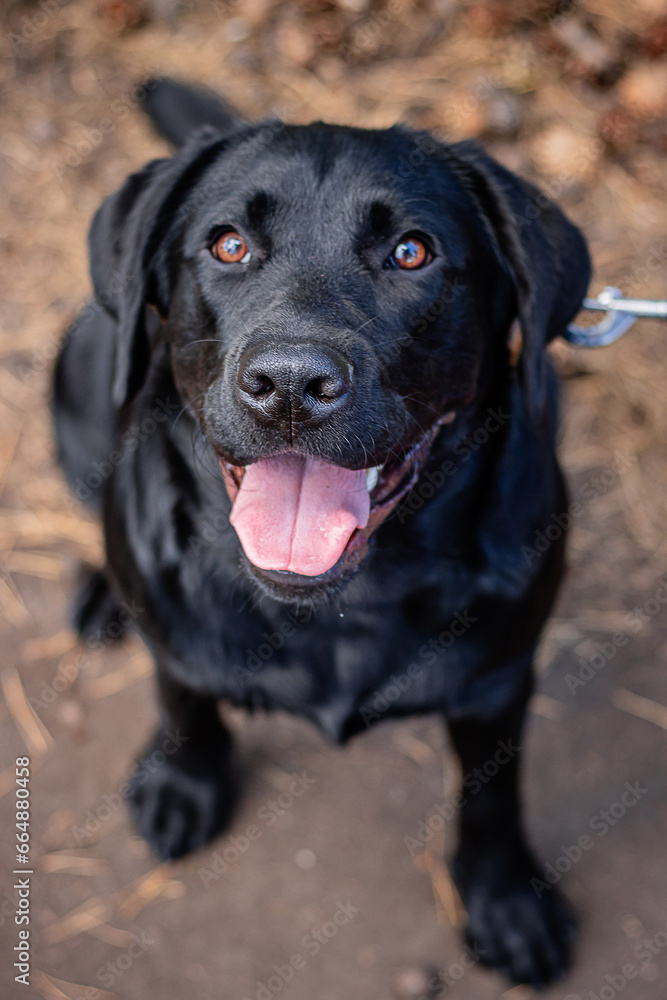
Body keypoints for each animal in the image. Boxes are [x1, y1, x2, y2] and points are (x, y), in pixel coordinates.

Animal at [52, 78, 588, 984]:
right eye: (227, 245)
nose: (291, 384)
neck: (339, 607)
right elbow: (182, 697)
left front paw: (506, 900)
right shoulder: (176, 642)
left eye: (411, 253)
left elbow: (491, 795)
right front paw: (183, 784)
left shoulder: (499, 679)